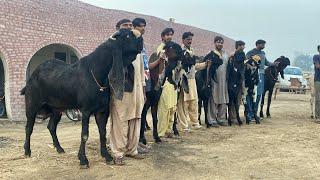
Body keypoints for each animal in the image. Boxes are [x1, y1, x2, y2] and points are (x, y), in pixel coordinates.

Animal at [20, 28, 143, 168]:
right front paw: (83, 160)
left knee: (51, 127)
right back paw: (27, 151)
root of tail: (32, 76)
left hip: (57, 109)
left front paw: (107, 156)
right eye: (127, 35)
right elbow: (84, 135)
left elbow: (103, 133)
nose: (141, 40)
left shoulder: (102, 111)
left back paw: (59, 148)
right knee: (28, 128)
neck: (97, 72)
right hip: (32, 106)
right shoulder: (86, 110)